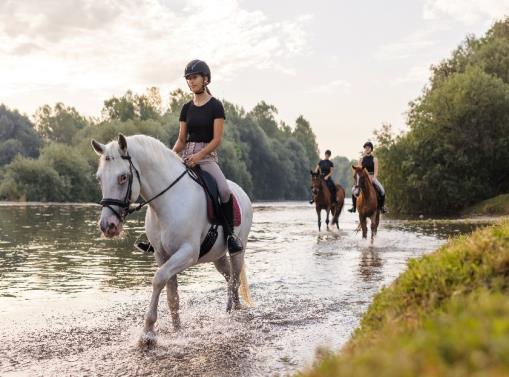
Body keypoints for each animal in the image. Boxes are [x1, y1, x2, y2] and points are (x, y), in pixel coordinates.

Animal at [91, 134, 252, 346]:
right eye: (99, 178)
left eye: (123, 177)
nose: (107, 226)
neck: (167, 202)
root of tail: (241, 192)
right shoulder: (162, 255)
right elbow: (171, 294)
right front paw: (177, 330)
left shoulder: (187, 253)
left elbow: (158, 279)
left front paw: (148, 333)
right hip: (217, 255)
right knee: (229, 276)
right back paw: (231, 308)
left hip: (238, 250)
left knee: (235, 278)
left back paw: (233, 313)